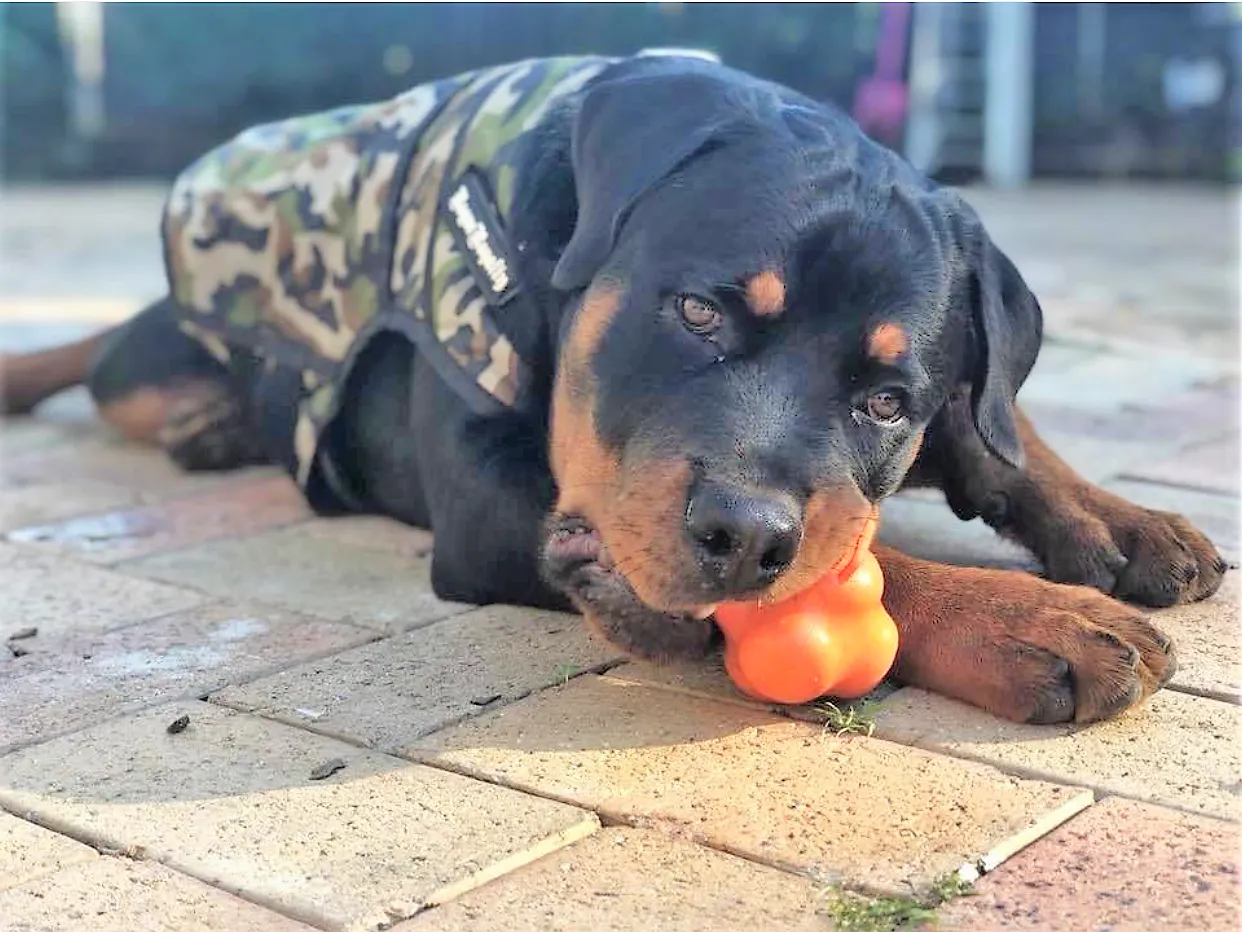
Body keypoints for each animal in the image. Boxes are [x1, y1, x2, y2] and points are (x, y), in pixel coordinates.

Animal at [0, 50, 1222, 725]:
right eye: (698, 313)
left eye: (885, 398)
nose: (744, 532)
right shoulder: (490, 502)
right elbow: (871, 565)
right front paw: (1032, 620)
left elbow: (991, 430)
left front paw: (1121, 520)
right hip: (145, 361)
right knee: (107, 366)